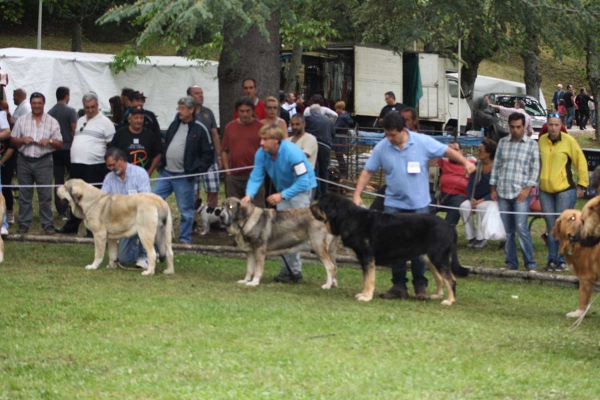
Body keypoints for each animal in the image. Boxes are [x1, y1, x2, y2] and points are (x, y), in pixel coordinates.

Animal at [312, 195, 472, 304]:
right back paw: (437, 295)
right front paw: (364, 294)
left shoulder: (367, 258)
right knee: (440, 278)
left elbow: (368, 280)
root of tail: (450, 227)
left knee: (451, 279)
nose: (310, 207)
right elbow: (366, 279)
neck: (349, 218)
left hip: (438, 257)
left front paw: (366, 296)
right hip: (429, 258)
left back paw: (449, 301)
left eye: (320, 204)